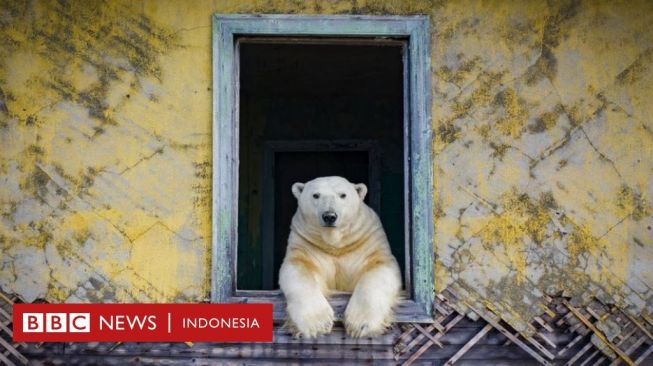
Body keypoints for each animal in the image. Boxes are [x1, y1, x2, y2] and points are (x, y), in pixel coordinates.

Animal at [278, 176, 400, 338]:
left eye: (343, 195)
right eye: (316, 195)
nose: (329, 216)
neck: (335, 245)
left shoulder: (366, 241)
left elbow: (379, 268)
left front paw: (360, 324)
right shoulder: (306, 244)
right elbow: (299, 268)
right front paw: (317, 324)